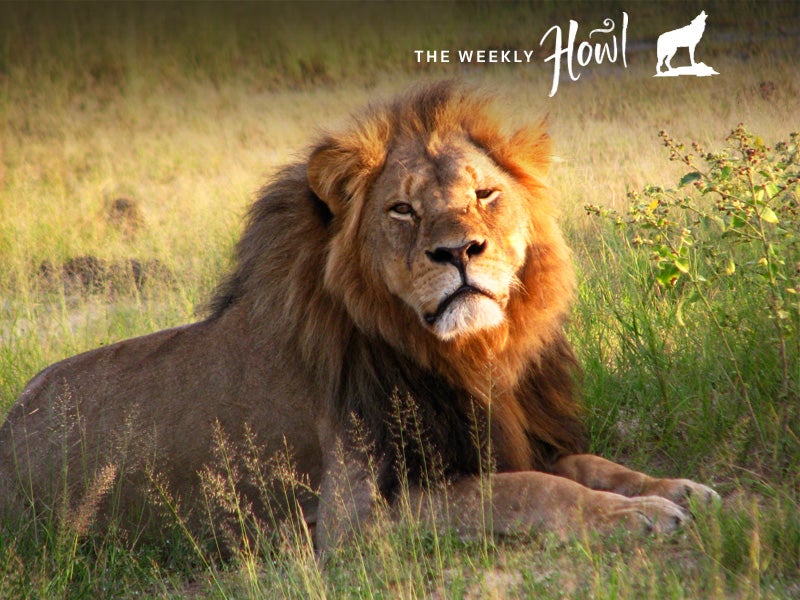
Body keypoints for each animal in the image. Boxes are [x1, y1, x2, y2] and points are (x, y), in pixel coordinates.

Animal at [0, 82, 712, 552]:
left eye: (485, 193)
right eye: (402, 209)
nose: (459, 251)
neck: (468, 355)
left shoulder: (498, 435)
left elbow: (587, 465)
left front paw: (674, 489)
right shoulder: (353, 518)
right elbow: (531, 489)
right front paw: (635, 517)